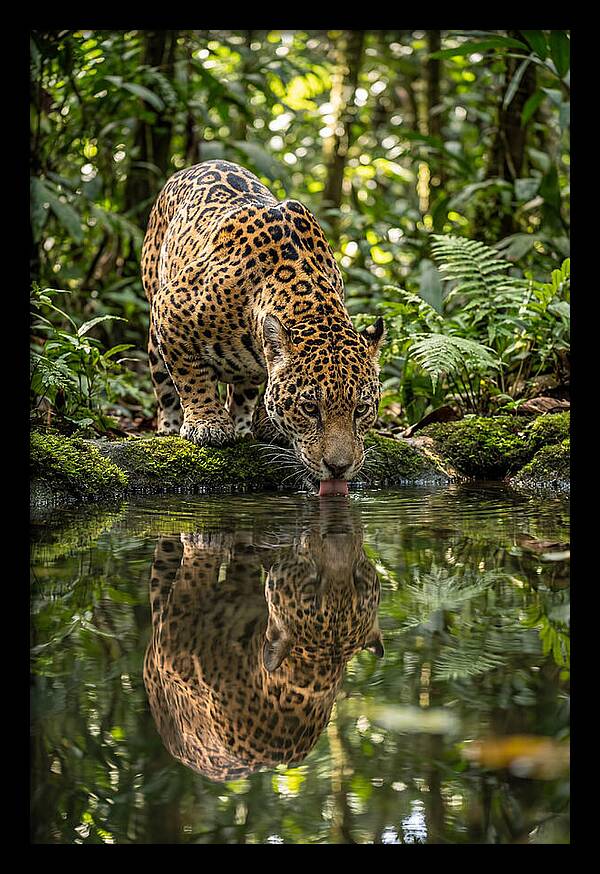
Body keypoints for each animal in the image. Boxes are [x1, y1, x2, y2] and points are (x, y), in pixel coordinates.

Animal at [141, 160, 385, 493]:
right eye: (310, 408)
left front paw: (267, 425)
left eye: (361, 409)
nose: (338, 468)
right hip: (154, 317)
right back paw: (169, 426)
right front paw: (208, 424)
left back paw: (244, 424)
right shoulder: (170, 309)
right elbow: (191, 377)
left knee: (243, 389)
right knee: (164, 384)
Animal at [142, 504, 383, 781]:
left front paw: (205, 541)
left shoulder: (172, 643)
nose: (339, 533)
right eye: (312, 585)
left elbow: (197, 572)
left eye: (359, 581)